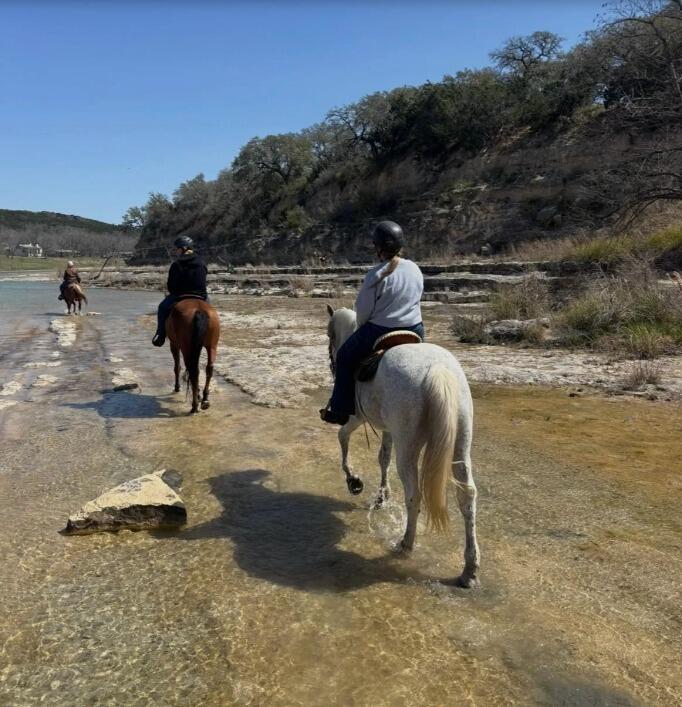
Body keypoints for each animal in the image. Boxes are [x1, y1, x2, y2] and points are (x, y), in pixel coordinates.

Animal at [325, 305, 480, 588]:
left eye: (329, 334)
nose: (331, 362)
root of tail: (437, 369)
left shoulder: (356, 417)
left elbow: (342, 437)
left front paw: (353, 479)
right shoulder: (388, 429)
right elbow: (382, 457)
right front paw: (381, 496)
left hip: (408, 447)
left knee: (414, 494)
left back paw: (406, 543)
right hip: (461, 444)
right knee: (467, 495)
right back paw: (470, 570)